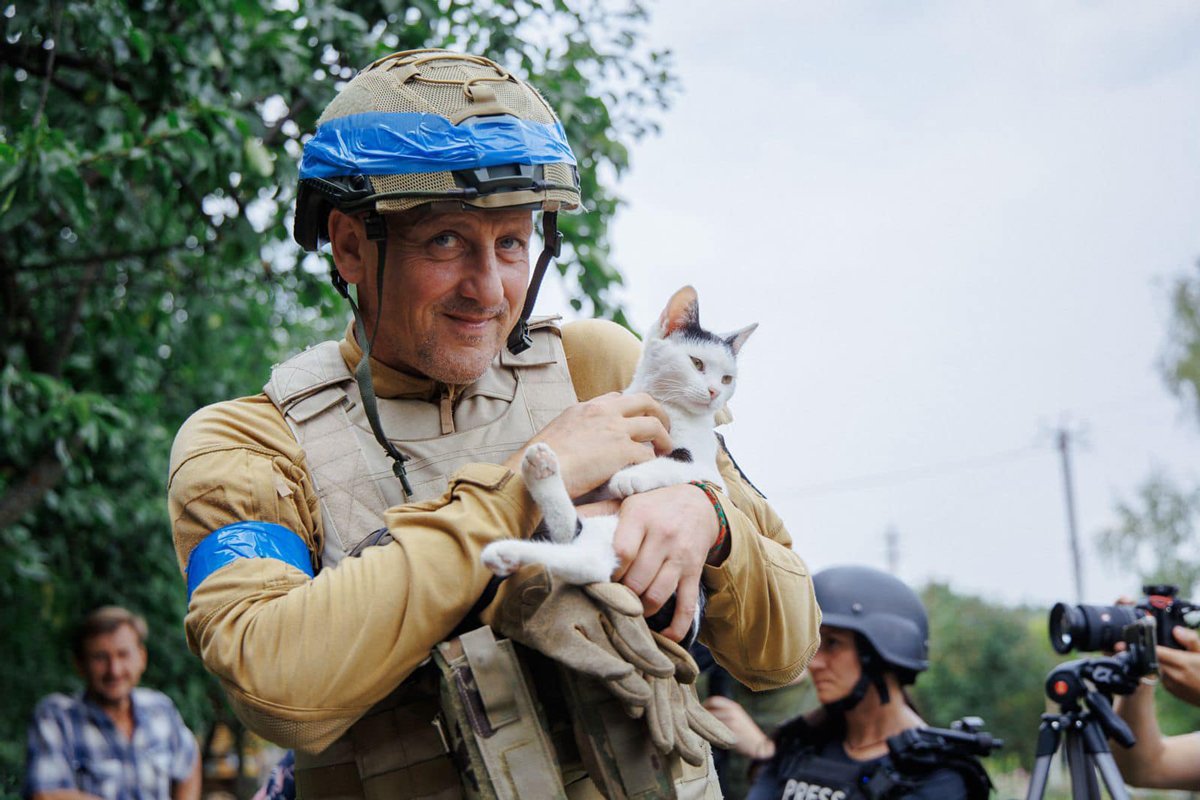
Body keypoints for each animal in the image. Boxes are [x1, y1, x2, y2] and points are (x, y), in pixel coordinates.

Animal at [480, 284, 753, 592]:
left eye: (727, 379)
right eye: (697, 363)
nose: (714, 393)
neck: (669, 406)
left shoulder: (710, 474)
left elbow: (673, 464)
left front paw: (630, 477)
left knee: (588, 562)